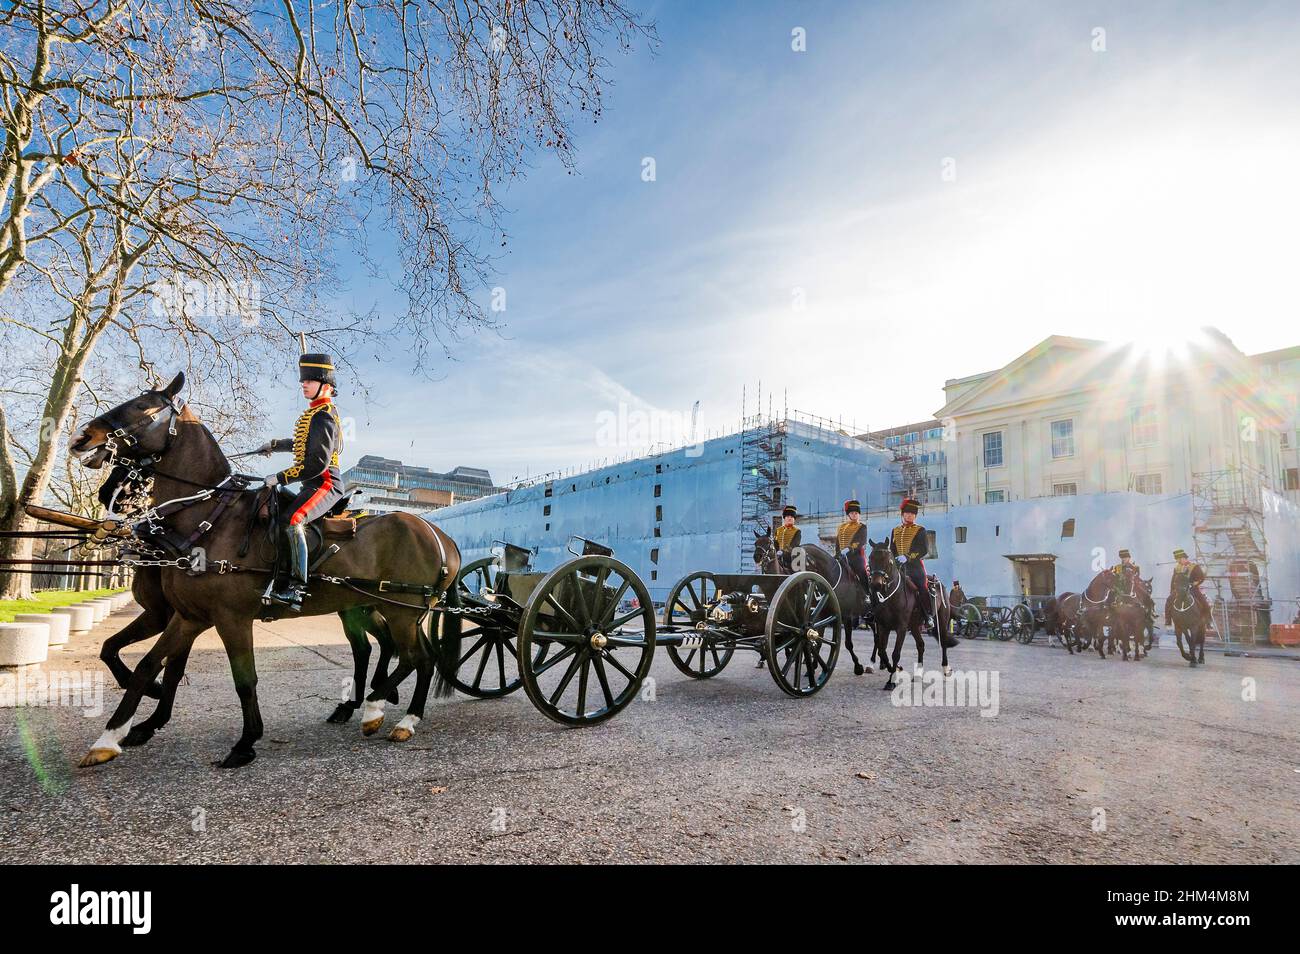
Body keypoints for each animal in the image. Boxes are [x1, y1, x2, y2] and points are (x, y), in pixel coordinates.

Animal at [69, 374, 462, 769]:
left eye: (142, 406)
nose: (81, 438)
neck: (208, 519)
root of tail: (439, 534)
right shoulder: (188, 616)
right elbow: (147, 666)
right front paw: (111, 736)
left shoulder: (231, 618)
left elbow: (244, 679)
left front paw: (245, 742)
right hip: (395, 612)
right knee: (416, 657)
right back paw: (400, 715)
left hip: (399, 611)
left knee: (412, 657)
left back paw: (376, 708)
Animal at [863, 540, 956, 691]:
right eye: (870, 559)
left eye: (889, 561)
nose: (876, 584)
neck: (891, 597)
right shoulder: (883, 626)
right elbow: (882, 650)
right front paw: (894, 669)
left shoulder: (901, 628)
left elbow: (895, 653)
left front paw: (891, 680)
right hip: (914, 626)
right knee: (921, 645)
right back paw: (918, 673)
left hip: (941, 621)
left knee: (943, 643)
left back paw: (946, 669)